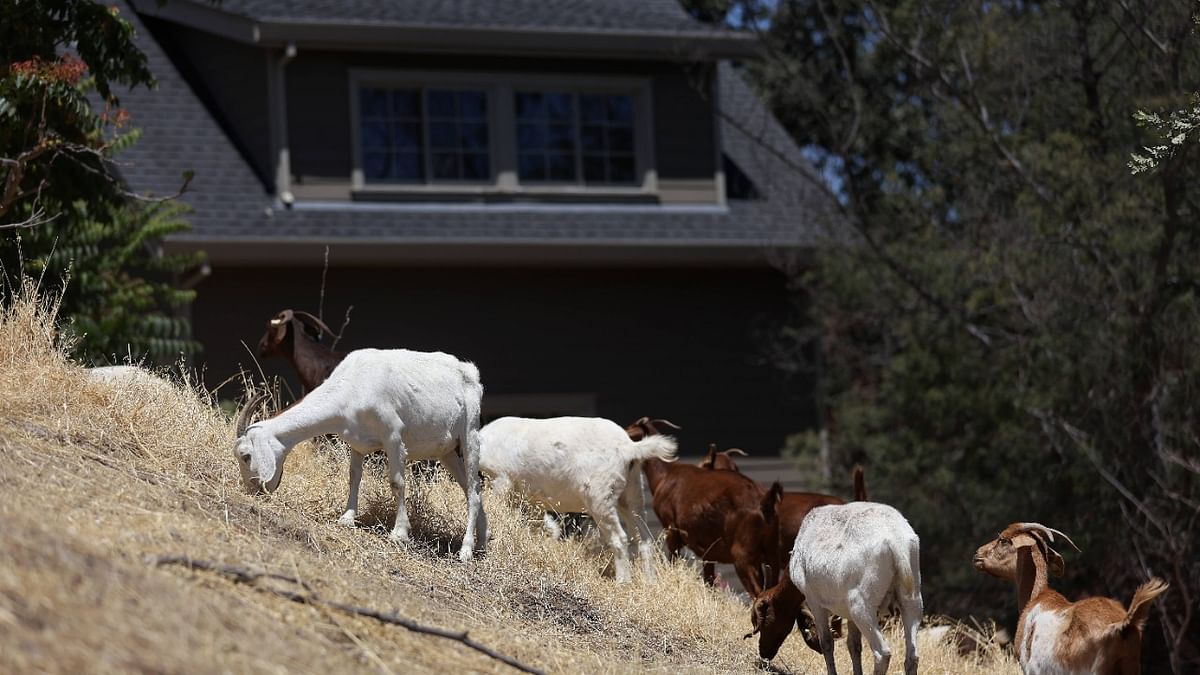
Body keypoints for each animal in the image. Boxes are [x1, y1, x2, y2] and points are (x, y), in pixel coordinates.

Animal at [234, 345, 487, 562]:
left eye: (246, 456)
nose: (254, 489)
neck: (355, 383)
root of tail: (470, 372)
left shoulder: (393, 435)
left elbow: (397, 482)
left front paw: (399, 533)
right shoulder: (356, 442)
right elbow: (354, 476)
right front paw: (347, 518)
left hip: (470, 435)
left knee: (474, 490)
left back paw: (466, 551)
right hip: (447, 452)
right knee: (471, 489)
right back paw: (482, 543)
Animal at [482, 413, 681, 581]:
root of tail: (629, 448)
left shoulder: (500, 481)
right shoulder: (528, 501)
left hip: (600, 497)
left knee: (619, 538)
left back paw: (623, 582)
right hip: (633, 494)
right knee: (644, 538)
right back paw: (650, 582)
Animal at [744, 499, 921, 672]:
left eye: (762, 622)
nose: (764, 653)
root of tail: (897, 541)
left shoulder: (814, 601)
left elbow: (827, 643)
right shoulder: (848, 615)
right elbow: (853, 645)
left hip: (861, 606)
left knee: (882, 653)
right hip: (912, 600)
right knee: (912, 657)